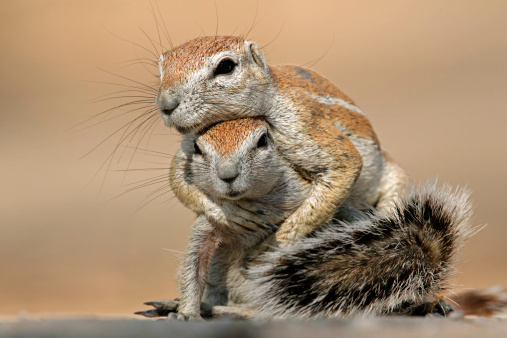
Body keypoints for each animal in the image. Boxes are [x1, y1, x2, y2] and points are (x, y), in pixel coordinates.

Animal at [136, 118, 476, 320]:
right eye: (196, 147)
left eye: (262, 141)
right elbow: (193, 268)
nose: (227, 175)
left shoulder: (311, 200)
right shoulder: (208, 225)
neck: (252, 201)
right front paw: (187, 312)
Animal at [157, 35, 410, 246]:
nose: (165, 103)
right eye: (161, 69)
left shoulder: (300, 119)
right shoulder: (189, 142)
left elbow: (344, 165)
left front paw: (271, 246)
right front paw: (230, 212)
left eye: (225, 66)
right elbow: (177, 179)